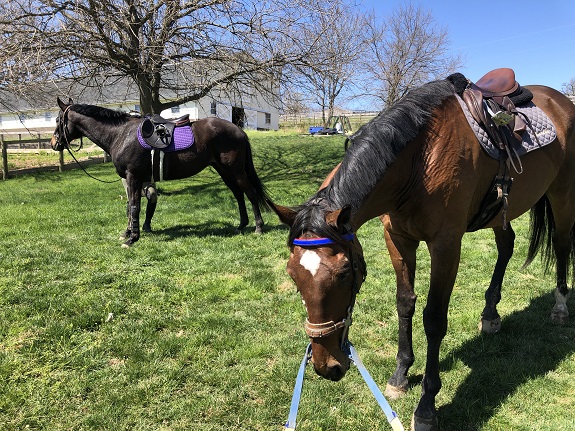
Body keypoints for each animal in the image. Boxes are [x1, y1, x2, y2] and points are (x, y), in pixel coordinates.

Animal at [50, 97, 271, 247]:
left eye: (58, 120)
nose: (53, 143)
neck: (120, 134)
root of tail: (239, 131)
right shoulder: (133, 180)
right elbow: (130, 206)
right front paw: (128, 232)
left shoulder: (133, 177)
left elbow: (134, 207)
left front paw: (132, 239)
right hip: (224, 171)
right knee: (239, 194)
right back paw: (242, 224)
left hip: (236, 171)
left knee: (250, 194)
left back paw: (258, 227)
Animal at [270, 74, 575, 430]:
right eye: (293, 276)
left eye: (345, 272)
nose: (326, 365)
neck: (418, 162)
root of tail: (560, 100)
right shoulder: (398, 239)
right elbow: (405, 304)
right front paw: (401, 375)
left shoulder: (446, 245)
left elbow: (434, 318)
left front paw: (427, 405)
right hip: (502, 209)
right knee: (507, 245)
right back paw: (490, 314)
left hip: (562, 194)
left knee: (562, 243)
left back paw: (560, 305)